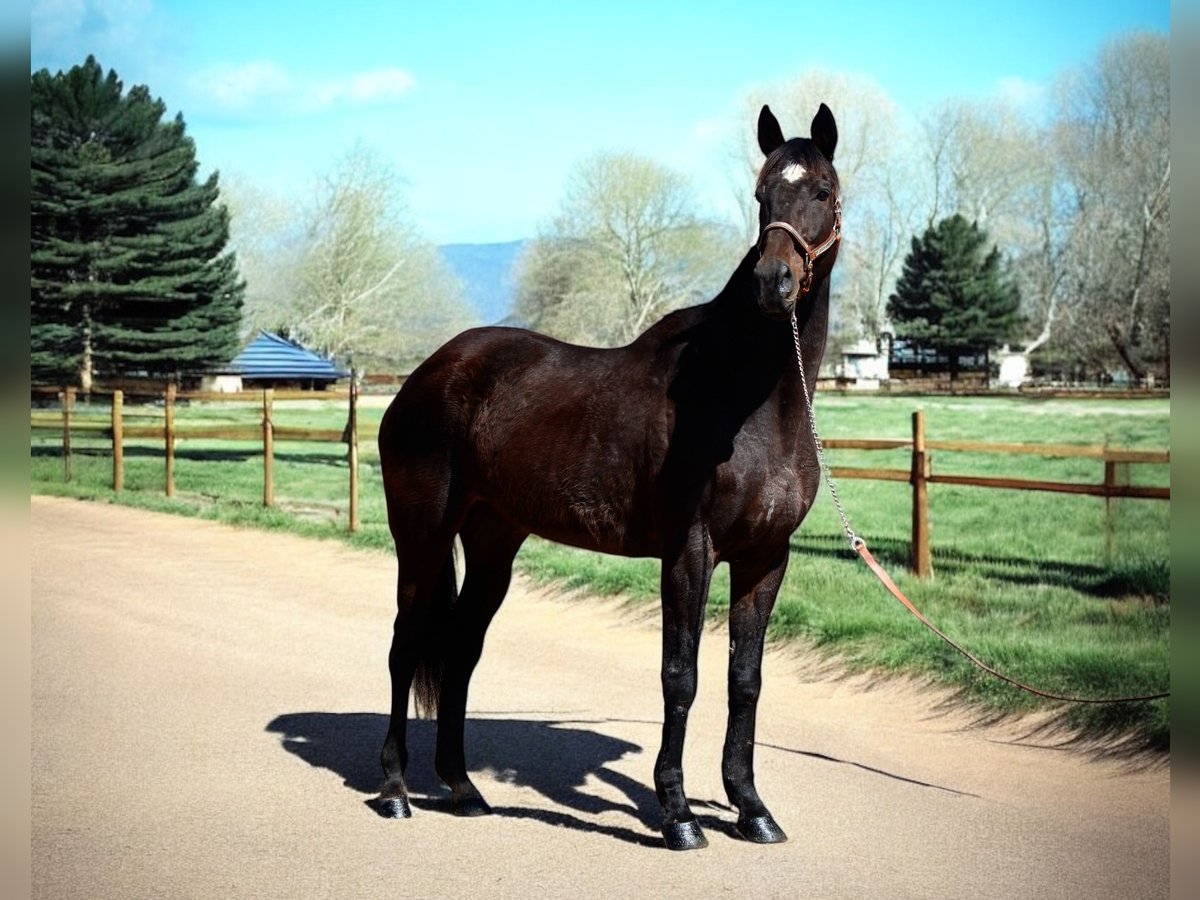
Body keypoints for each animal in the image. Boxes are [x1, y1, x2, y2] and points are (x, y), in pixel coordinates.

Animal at [376, 103, 842, 851]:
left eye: (822, 190)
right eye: (761, 194)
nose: (773, 283)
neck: (748, 397)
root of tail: (427, 374)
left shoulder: (767, 558)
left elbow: (745, 679)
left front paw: (751, 809)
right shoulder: (689, 552)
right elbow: (681, 676)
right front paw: (678, 815)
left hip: (493, 542)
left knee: (461, 650)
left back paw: (464, 789)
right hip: (421, 538)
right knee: (405, 645)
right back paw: (394, 791)